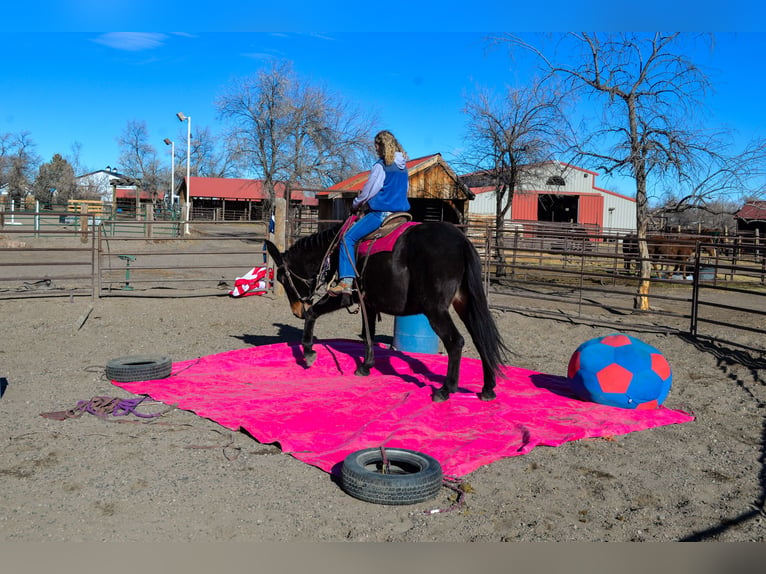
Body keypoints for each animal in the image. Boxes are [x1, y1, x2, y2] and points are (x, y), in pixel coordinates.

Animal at [266, 220, 510, 404]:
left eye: (281, 278)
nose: (296, 311)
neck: (334, 250)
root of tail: (461, 242)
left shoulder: (346, 296)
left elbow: (314, 314)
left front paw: (308, 353)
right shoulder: (369, 303)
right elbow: (369, 335)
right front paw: (366, 366)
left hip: (435, 309)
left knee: (455, 341)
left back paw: (445, 389)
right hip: (464, 304)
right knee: (480, 338)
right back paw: (487, 388)